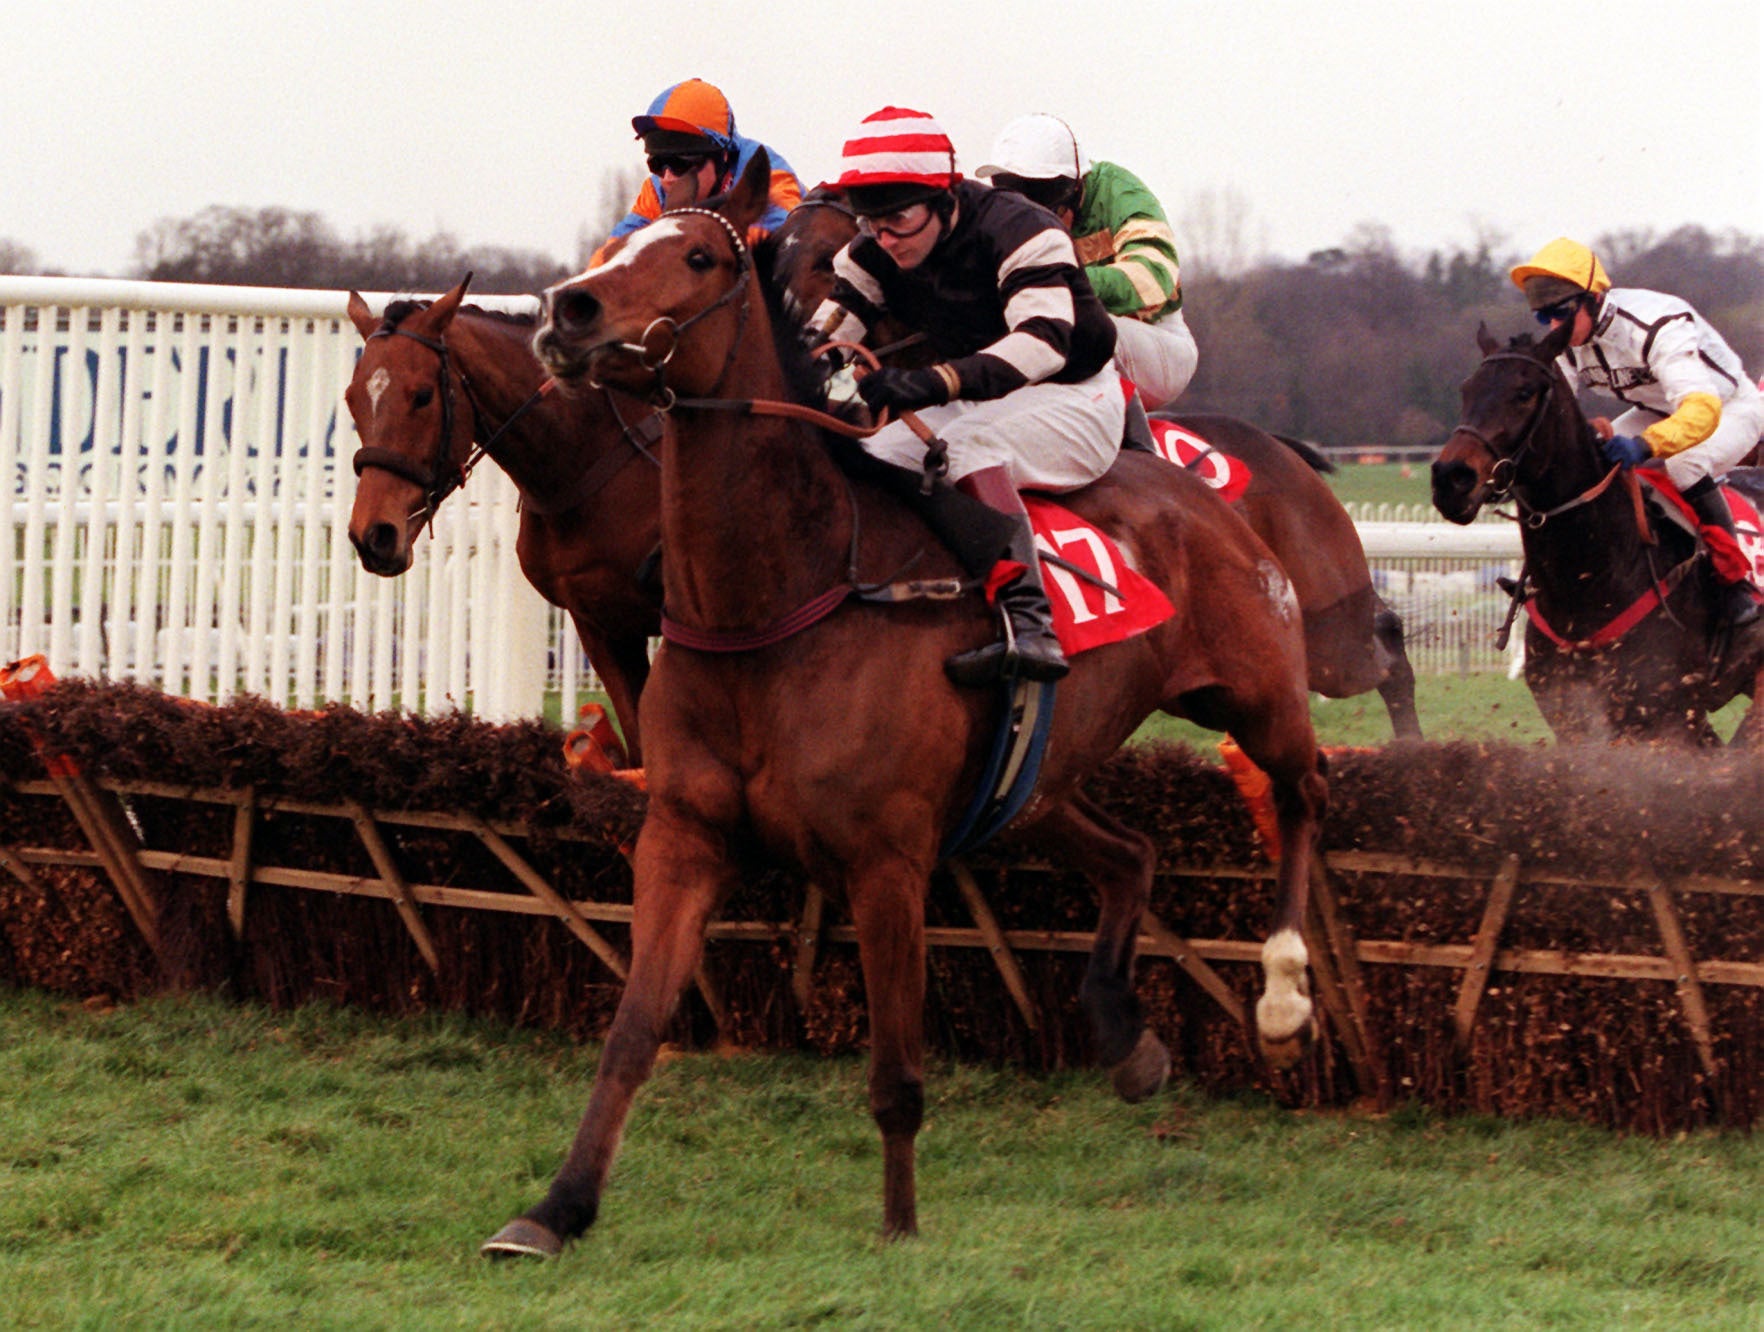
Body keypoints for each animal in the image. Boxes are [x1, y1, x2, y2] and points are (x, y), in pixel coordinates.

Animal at [476, 150, 1326, 1256]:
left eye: (700, 257)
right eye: (613, 247)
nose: (567, 312)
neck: (780, 596)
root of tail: (1191, 485)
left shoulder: (886, 859)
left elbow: (895, 1074)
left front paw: (900, 1228)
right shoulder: (681, 836)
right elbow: (632, 1032)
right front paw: (555, 1210)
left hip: (1258, 692)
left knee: (1302, 793)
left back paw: (1282, 994)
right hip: (1035, 784)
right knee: (1132, 854)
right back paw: (1124, 1034)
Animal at [765, 191, 1425, 740]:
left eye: (828, 258)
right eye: (775, 256)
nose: (806, 345)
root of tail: (1282, 448)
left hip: (1323, 627)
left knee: (1386, 646)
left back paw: (1410, 753)